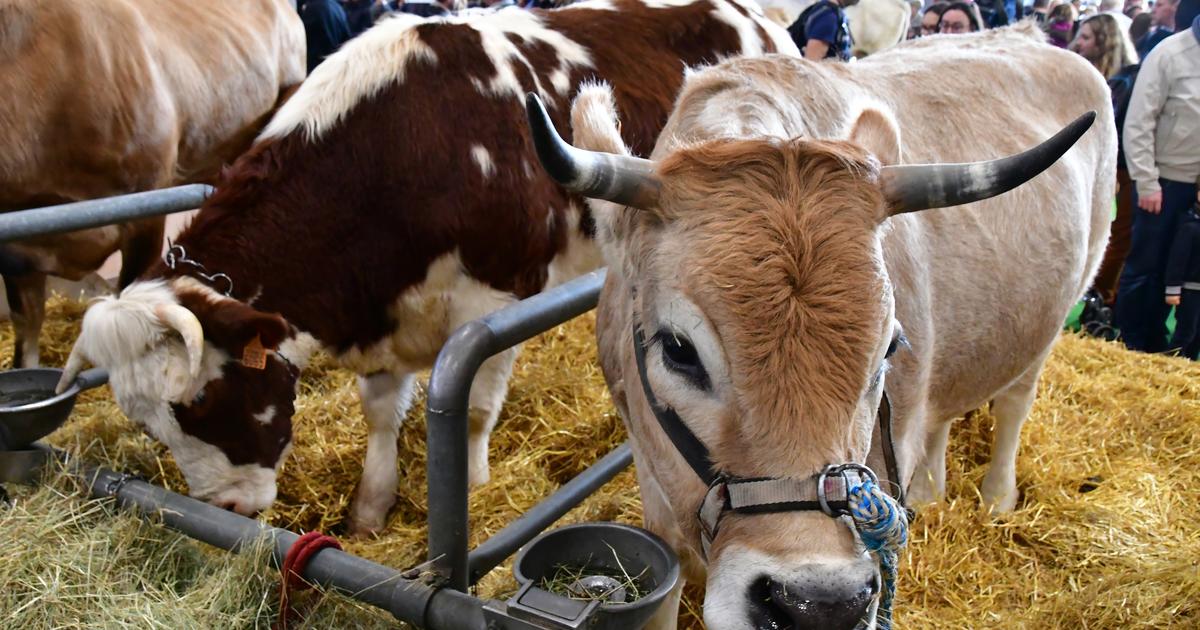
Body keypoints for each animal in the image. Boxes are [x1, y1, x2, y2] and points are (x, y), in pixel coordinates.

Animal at [55, 0, 798, 536]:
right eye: (148, 423)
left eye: (202, 401)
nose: (227, 511)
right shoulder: (384, 307)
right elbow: (381, 413)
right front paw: (371, 508)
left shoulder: (497, 298)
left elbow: (471, 407)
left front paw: (468, 489)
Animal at [525, 23, 1113, 629]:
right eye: (678, 349)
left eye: (888, 348)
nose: (821, 606)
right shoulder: (651, 473)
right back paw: (931, 491)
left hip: (1065, 300)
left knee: (1016, 400)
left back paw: (997, 498)